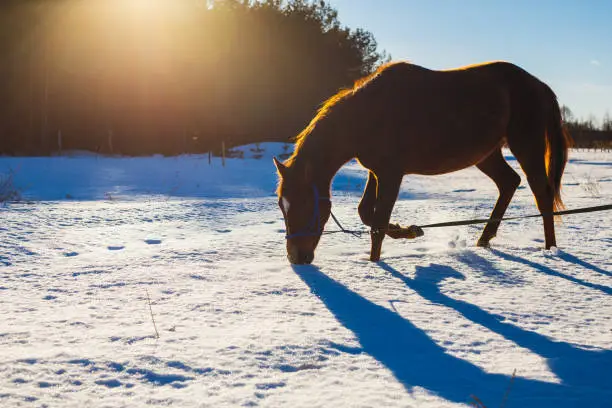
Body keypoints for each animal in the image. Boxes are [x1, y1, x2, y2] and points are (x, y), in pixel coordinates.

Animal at [274, 60, 572, 264]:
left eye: (305, 204)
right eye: (281, 206)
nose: (296, 257)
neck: (367, 115)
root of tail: (539, 86)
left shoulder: (392, 174)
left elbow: (378, 223)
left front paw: (375, 263)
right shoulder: (376, 172)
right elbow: (366, 213)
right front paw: (408, 231)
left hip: (526, 145)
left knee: (541, 193)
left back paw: (550, 249)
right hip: (487, 155)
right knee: (509, 182)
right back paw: (484, 239)